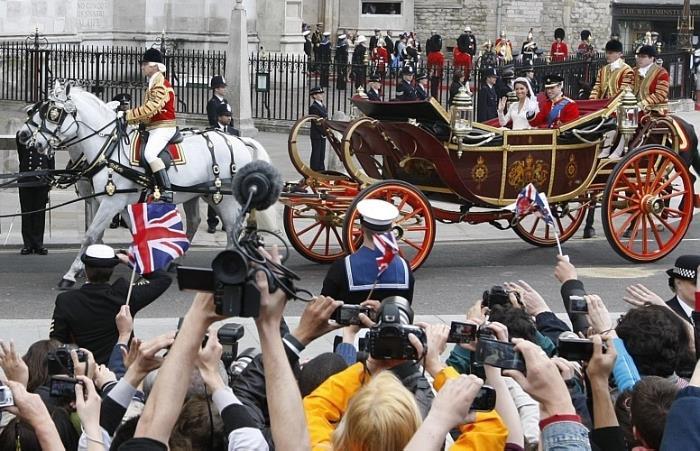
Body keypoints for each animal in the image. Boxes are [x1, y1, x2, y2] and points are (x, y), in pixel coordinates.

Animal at [17, 84, 278, 290]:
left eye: (53, 113)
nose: (25, 137)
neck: (108, 149)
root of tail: (237, 139)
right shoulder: (115, 201)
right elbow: (125, 233)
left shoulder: (111, 202)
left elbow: (91, 234)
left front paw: (71, 274)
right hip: (197, 194)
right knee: (196, 222)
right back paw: (177, 260)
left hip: (223, 198)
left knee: (233, 229)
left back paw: (229, 267)